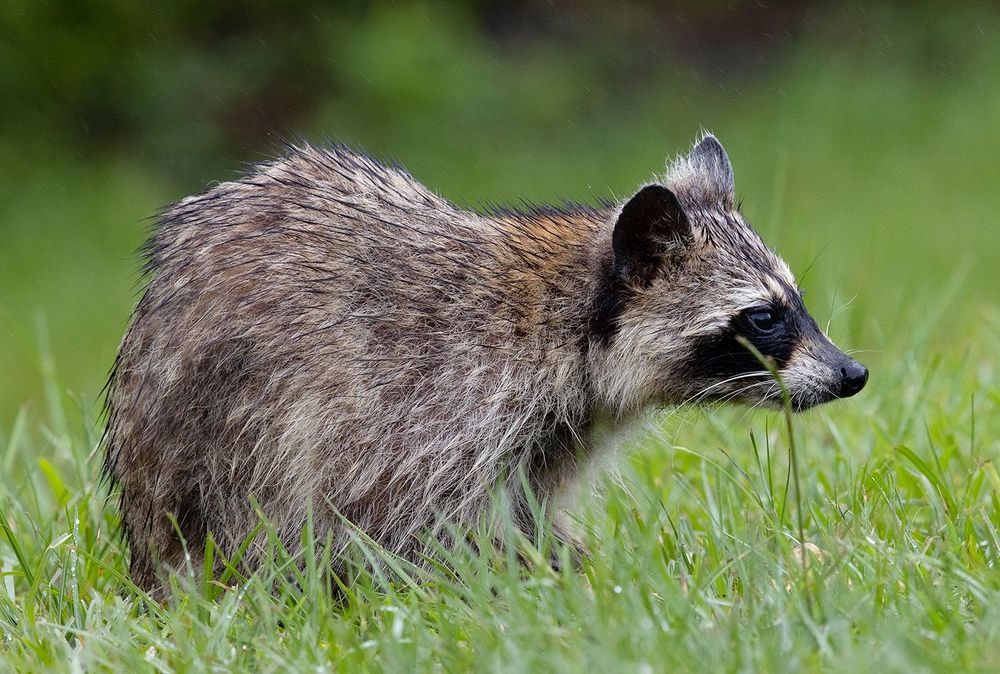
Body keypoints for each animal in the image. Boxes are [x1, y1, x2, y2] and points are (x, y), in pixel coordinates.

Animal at [103, 133, 867, 593]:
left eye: (797, 300)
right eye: (764, 317)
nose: (853, 373)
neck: (560, 319)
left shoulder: (550, 433)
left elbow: (526, 510)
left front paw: (568, 568)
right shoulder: (428, 402)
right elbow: (396, 524)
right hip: (222, 440)